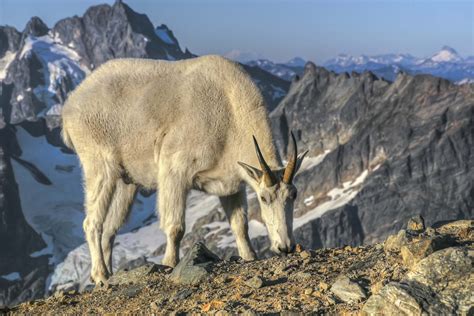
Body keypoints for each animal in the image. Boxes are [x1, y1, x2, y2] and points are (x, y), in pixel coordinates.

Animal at [62, 55, 308, 286]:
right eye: (264, 198)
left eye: (294, 195)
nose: (285, 247)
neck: (229, 111)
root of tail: (70, 104)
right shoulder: (175, 170)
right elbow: (175, 226)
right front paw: (170, 263)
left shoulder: (231, 184)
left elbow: (240, 225)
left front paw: (249, 257)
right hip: (98, 165)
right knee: (92, 222)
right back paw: (100, 275)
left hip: (126, 181)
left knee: (110, 229)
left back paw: (107, 273)